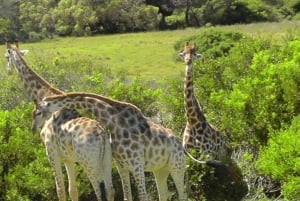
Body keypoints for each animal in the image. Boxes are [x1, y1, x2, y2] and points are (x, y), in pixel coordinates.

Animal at [4, 41, 115, 200]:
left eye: (6, 57)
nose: (8, 72)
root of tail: (101, 137)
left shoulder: (52, 154)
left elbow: (60, 190)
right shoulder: (68, 158)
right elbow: (73, 190)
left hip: (89, 163)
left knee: (100, 193)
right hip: (107, 161)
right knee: (111, 190)